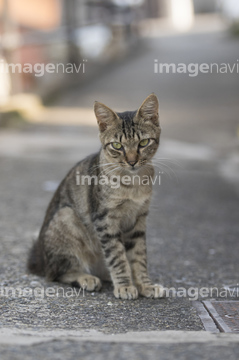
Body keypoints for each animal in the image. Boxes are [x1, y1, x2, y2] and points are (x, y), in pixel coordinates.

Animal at [27, 93, 164, 298]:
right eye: (117, 145)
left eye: (143, 143)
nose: (132, 161)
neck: (133, 183)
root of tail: (42, 259)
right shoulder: (104, 219)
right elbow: (117, 257)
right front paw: (125, 286)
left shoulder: (139, 220)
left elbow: (139, 257)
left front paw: (145, 285)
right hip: (67, 217)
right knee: (57, 273)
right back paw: (86, 278)